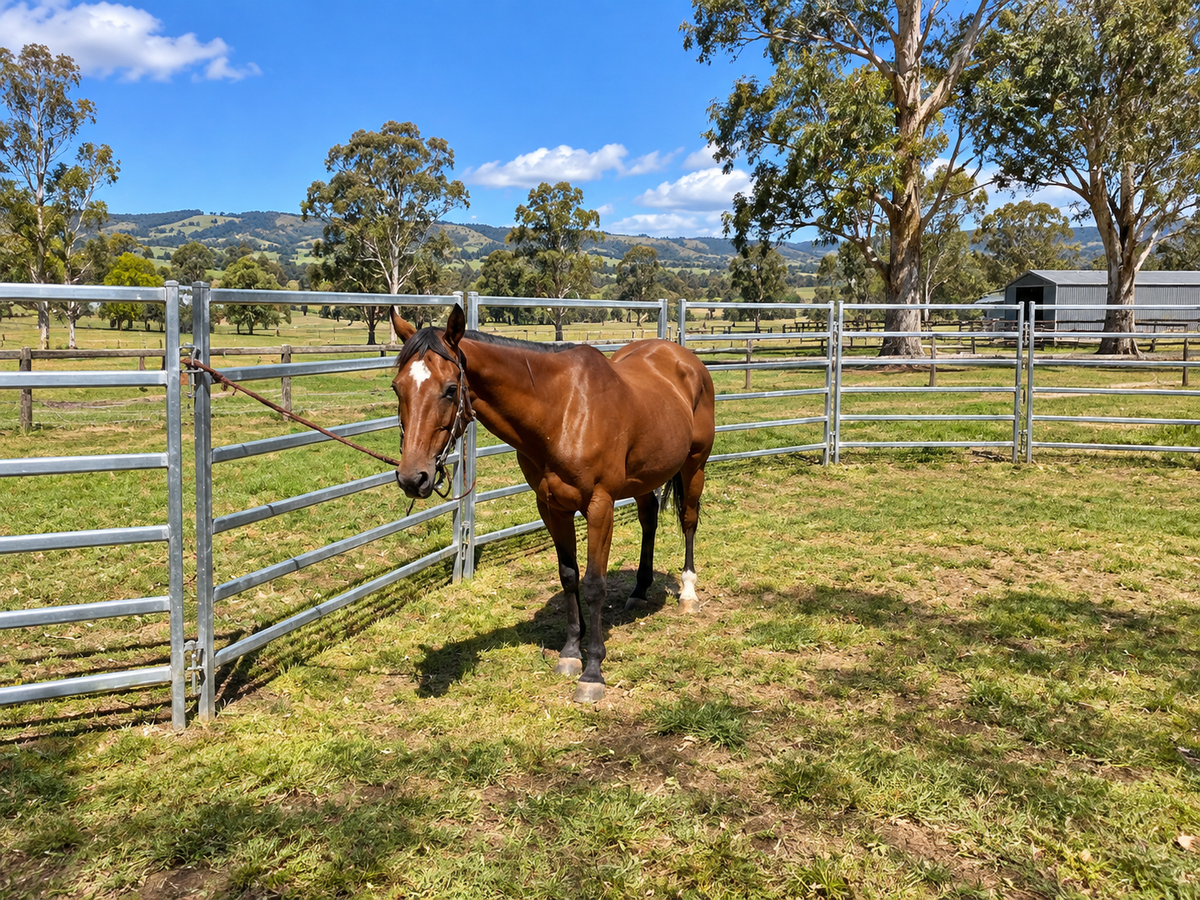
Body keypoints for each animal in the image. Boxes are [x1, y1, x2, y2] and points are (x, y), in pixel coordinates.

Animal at [389, 304, 715, 703]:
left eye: (451, 389)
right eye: (398, 387)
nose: (412, 477)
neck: (562, 412)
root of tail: (684, 357)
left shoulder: (599, 506)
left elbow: (594, 584)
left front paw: (592, 672)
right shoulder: (551, 507)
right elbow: (569, 576)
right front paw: (572, 653)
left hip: (694, 466)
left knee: (688, 520)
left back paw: (688, 594)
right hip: (645, 476)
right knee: (649, 520)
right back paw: (639, 591)